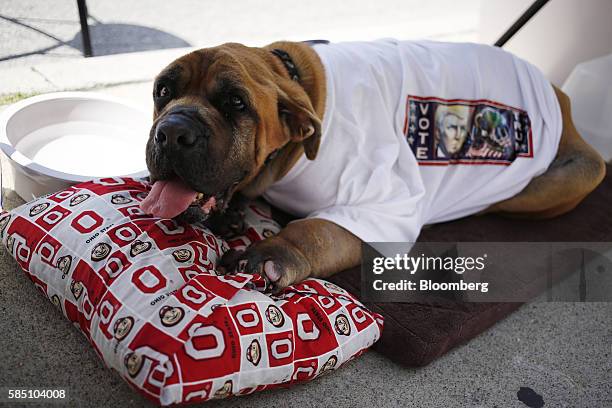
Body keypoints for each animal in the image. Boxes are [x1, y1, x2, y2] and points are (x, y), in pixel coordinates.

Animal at [141, 39, 604, 292]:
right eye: (163, 91)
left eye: (236, 103)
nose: (172, 132)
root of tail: (558, 95)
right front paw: (235, 215)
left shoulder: (381, 208)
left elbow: (315, 229)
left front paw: (272, 254)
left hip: (574, 173)